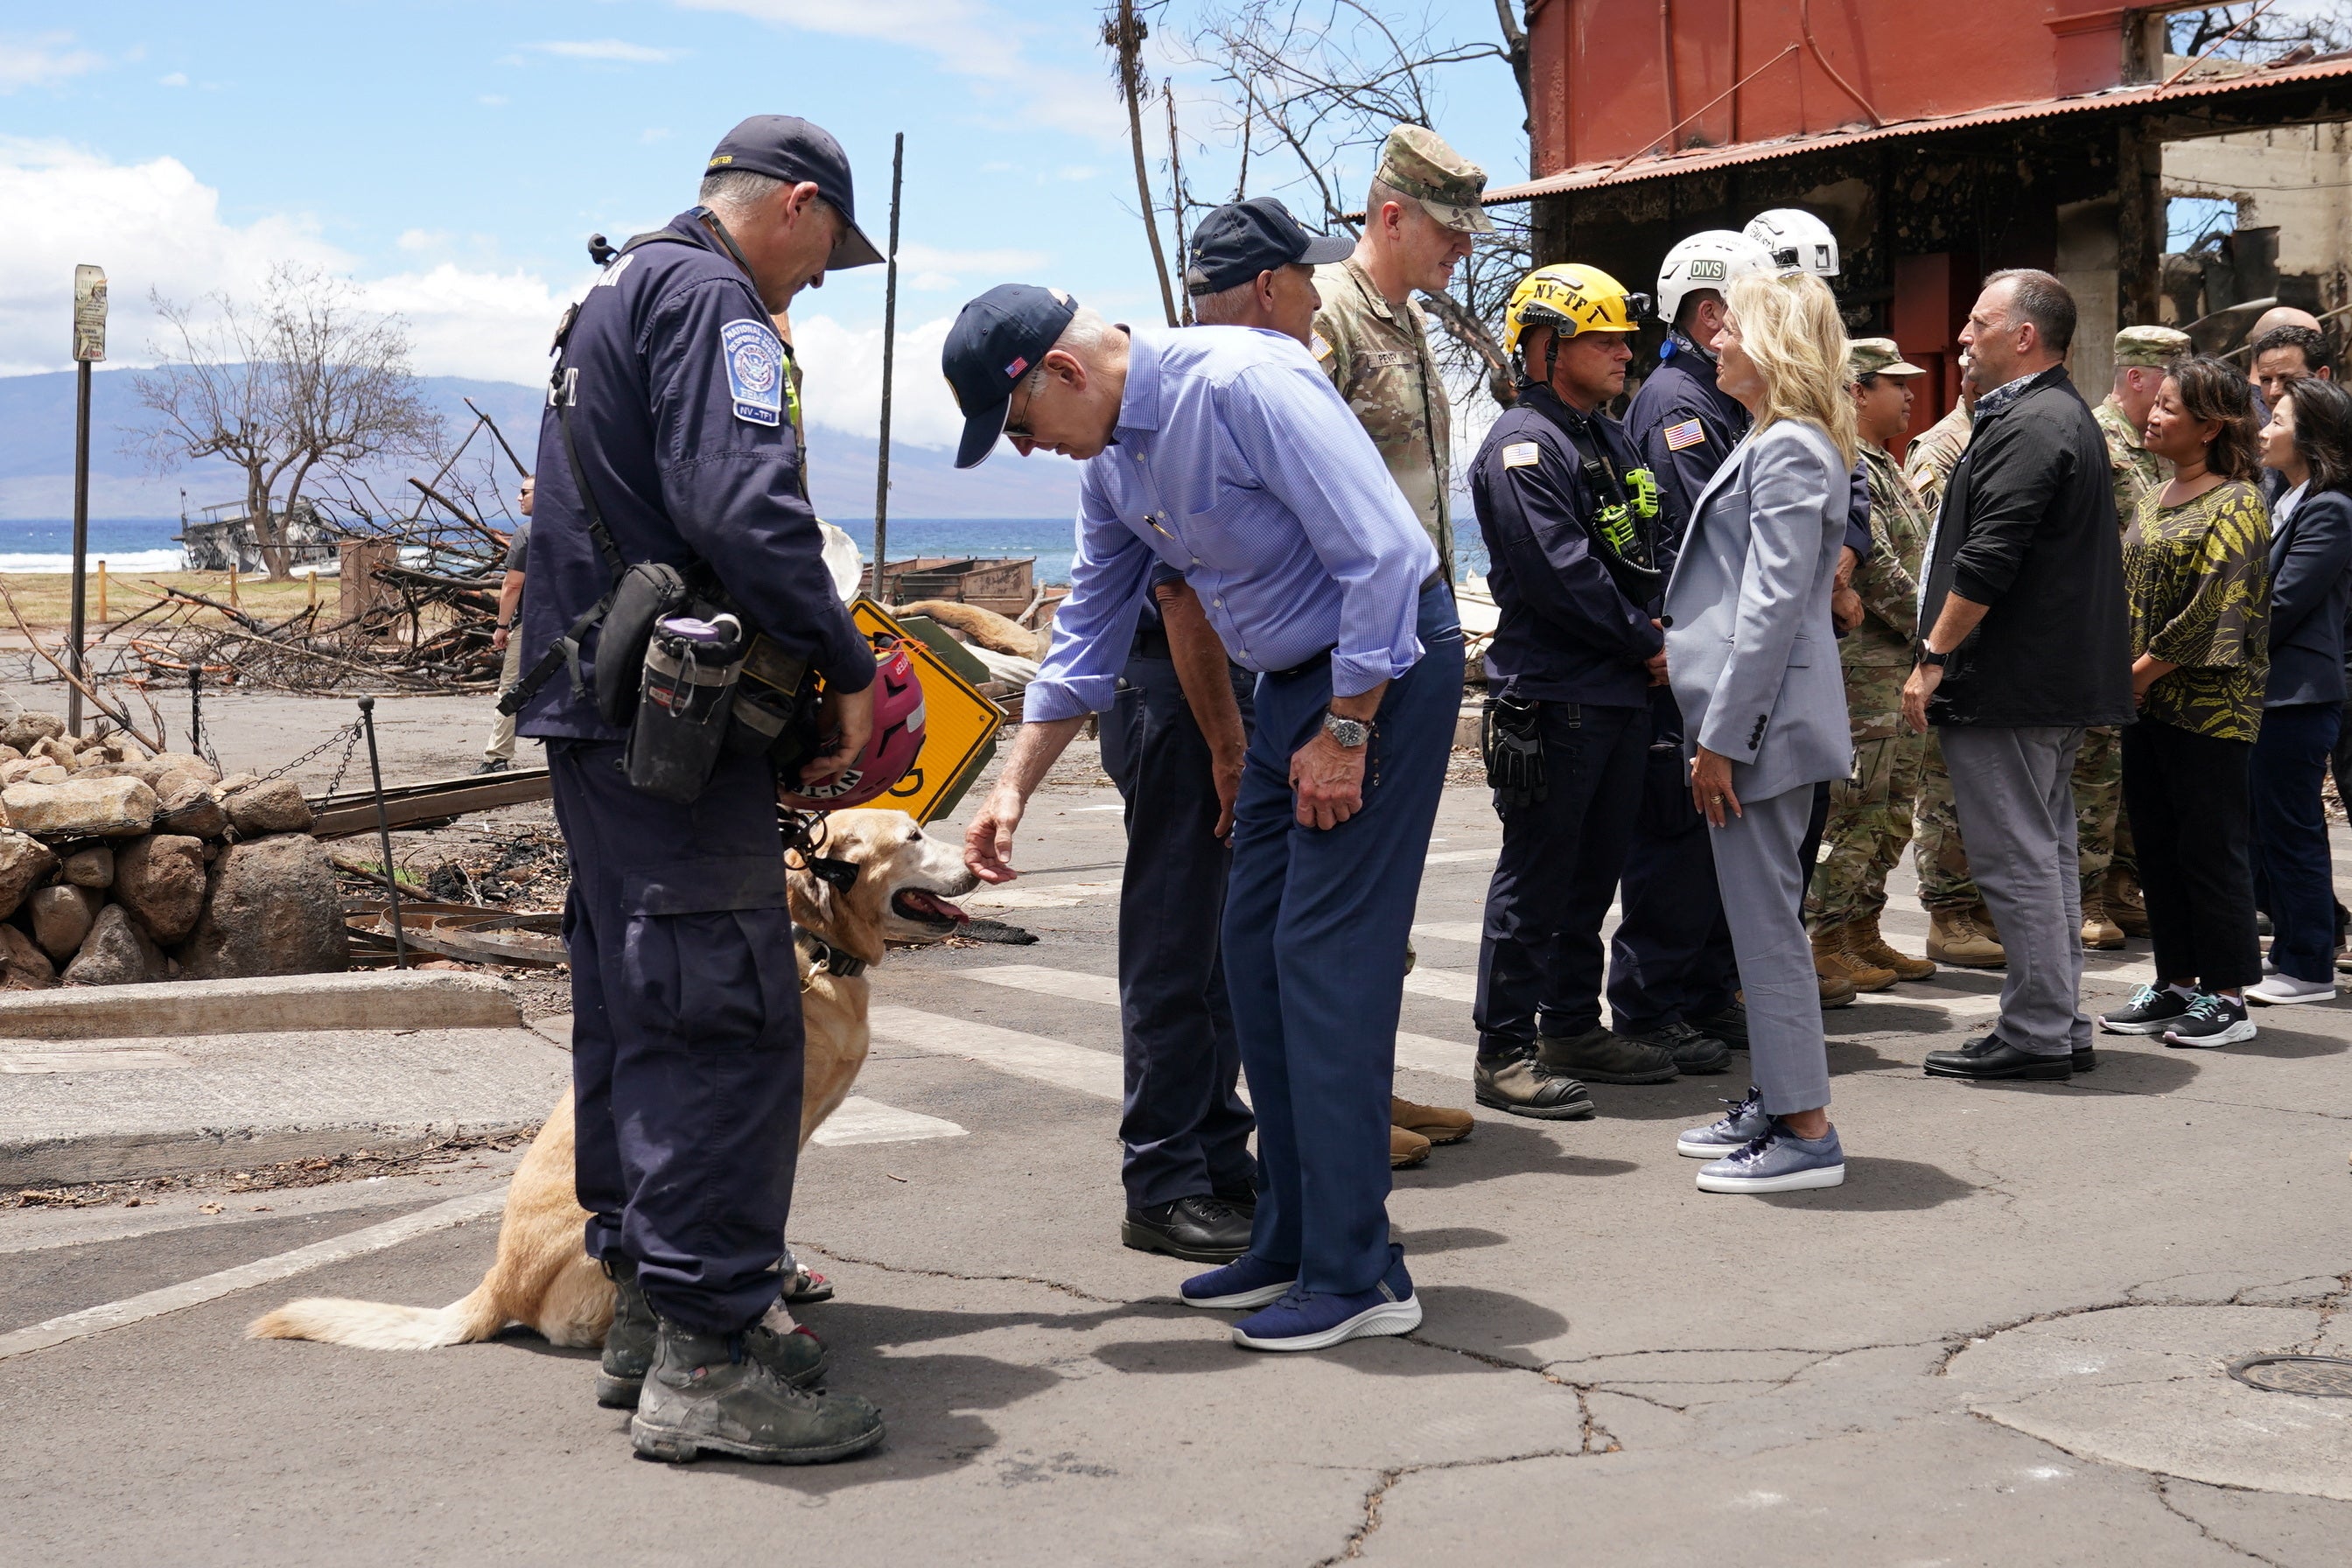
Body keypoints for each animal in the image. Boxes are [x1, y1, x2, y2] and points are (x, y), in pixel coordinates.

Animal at [255, 808, 983, 1354]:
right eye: (913, 837)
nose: (982, 865)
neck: (816, 950)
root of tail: (500, 1286)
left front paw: (786, 1279)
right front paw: (771, 1308)